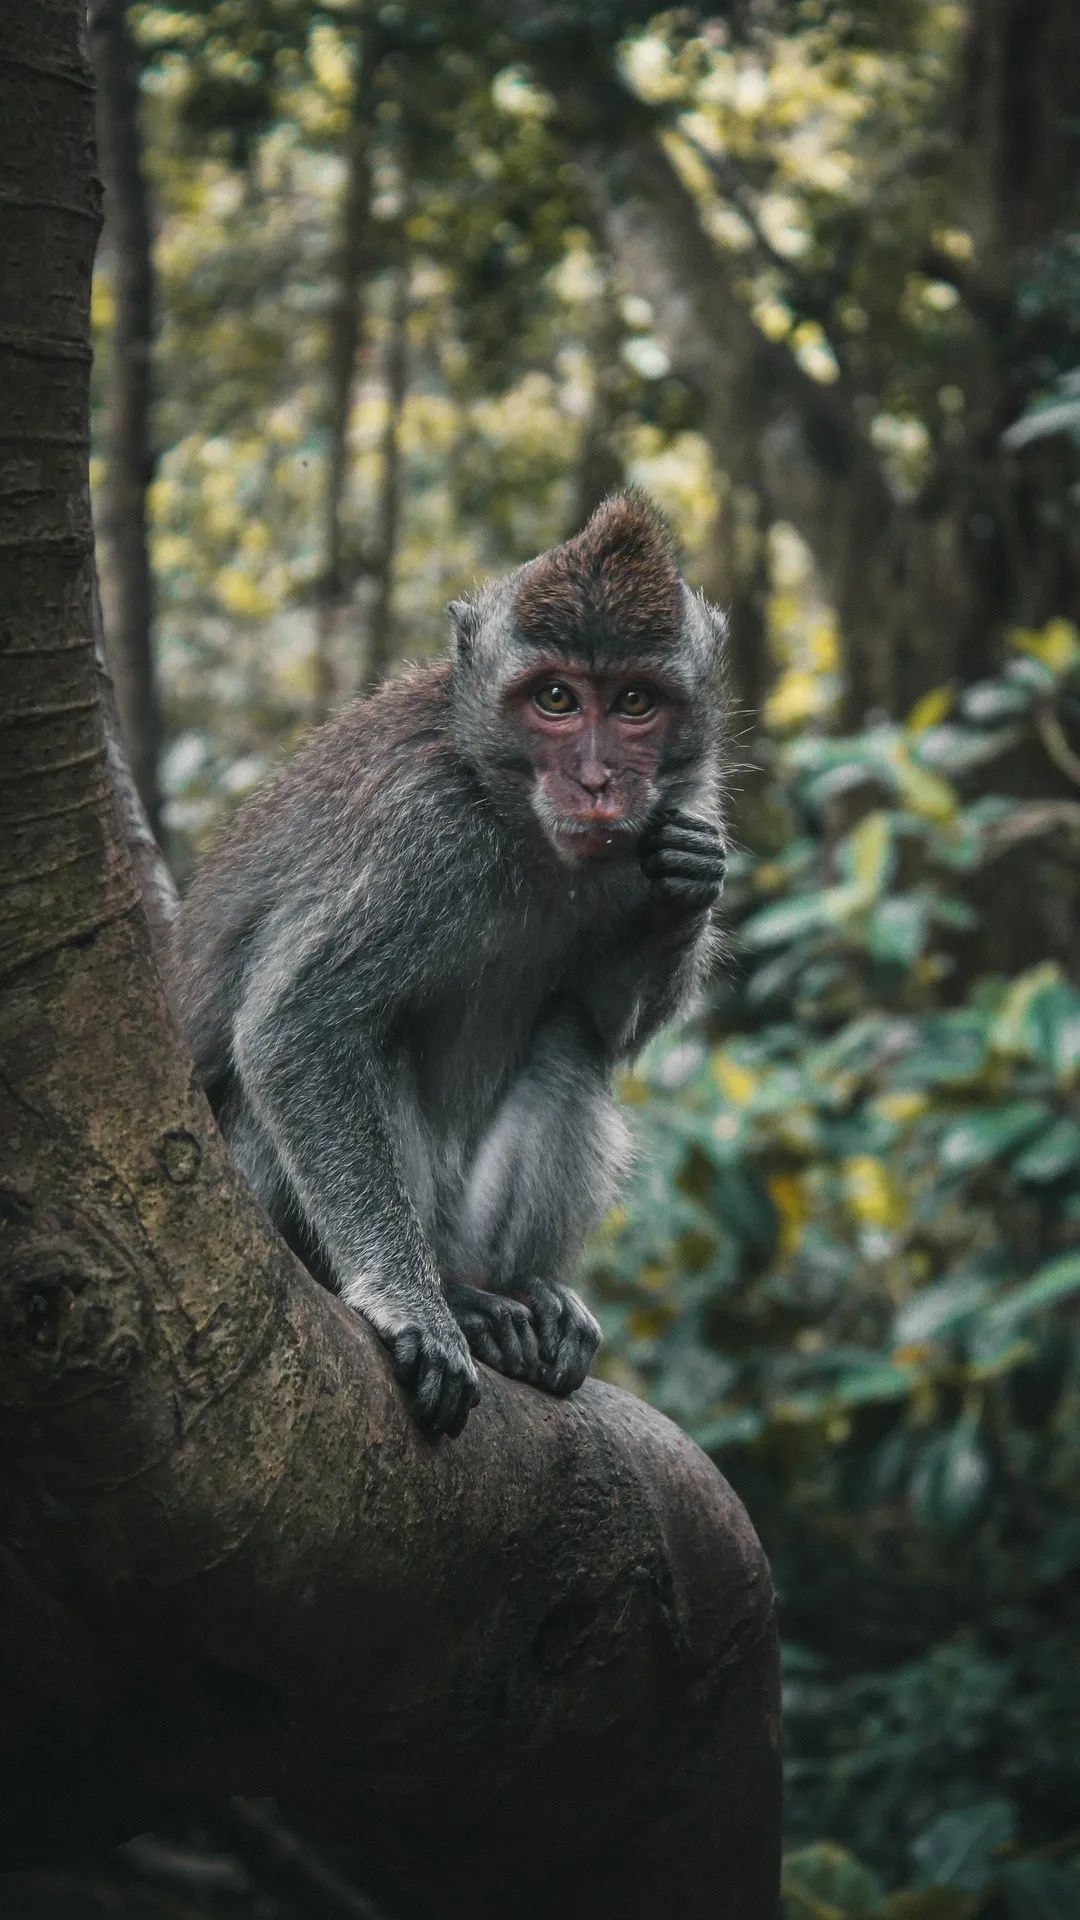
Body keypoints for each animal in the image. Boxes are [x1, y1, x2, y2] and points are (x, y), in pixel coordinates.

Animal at [169, 492, 728, 1438]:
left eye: (634, 702)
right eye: (555, 698)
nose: (597, 782)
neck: (518, 818)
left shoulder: (683, 801)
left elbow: (604, 1018)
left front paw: (687, 888)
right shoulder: (423, 835)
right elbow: (295, 1025)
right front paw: (406, 1304)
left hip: (472, 1228)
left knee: (569, 1044)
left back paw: (521, 1294)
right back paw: (454, 1303)